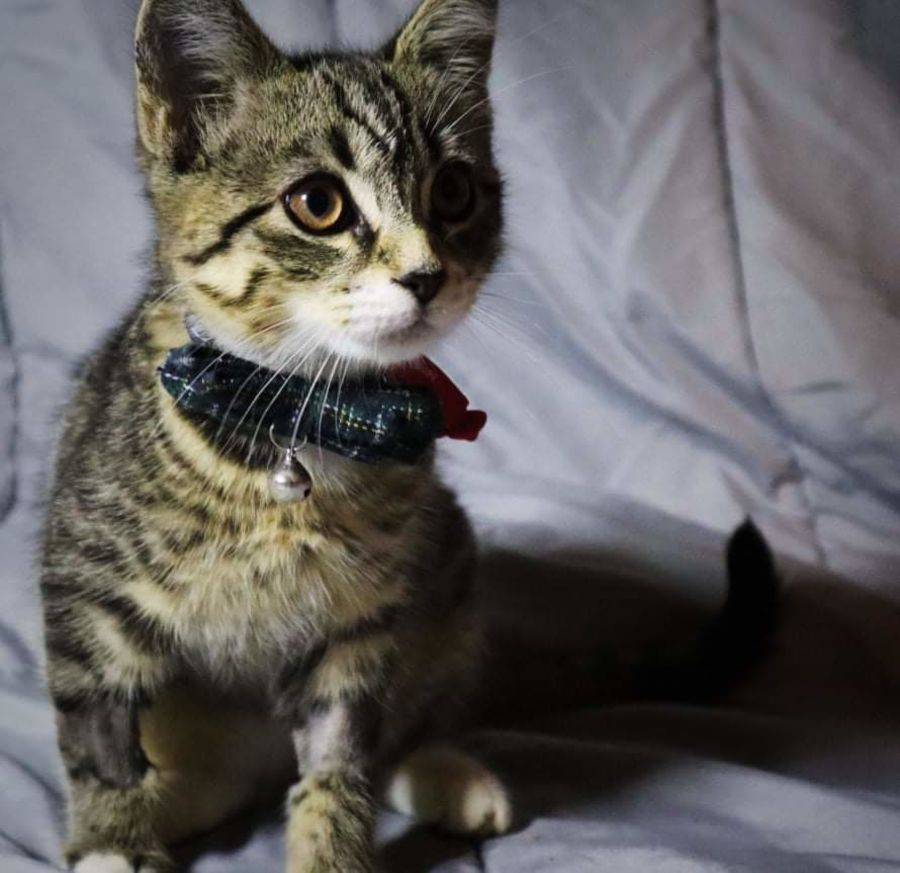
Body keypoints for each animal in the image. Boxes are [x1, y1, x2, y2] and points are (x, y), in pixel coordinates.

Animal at [39, 1, 779, 872]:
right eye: (317, 202)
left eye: (452, 191)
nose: (426, 274)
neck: (307, 414)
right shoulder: (84, 586)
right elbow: (95, 730)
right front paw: (113, 837)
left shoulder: (361, 620)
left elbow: (342, 756)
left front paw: (333, 848)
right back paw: (172, 799)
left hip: (447, 560)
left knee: (395, 729)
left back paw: (449, 775)